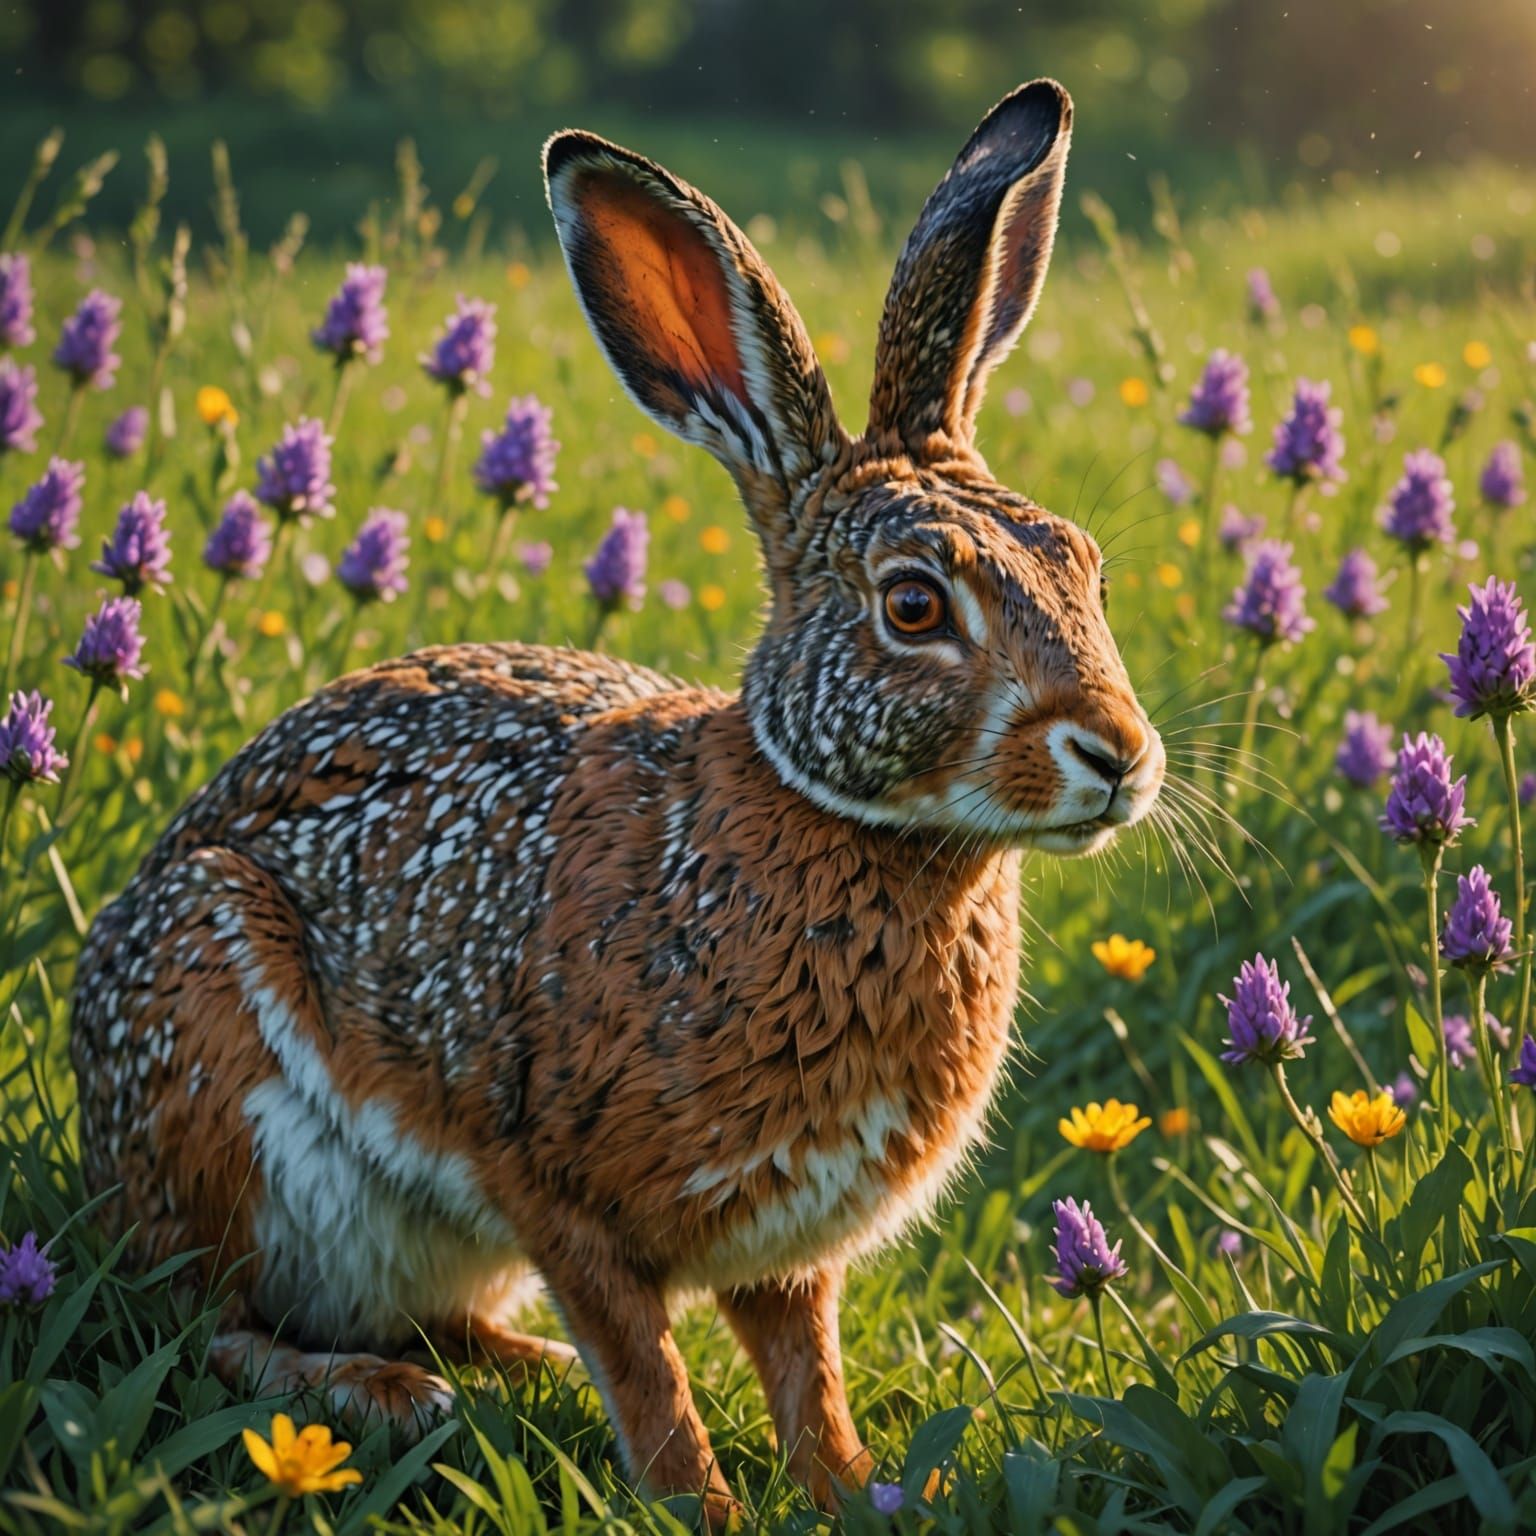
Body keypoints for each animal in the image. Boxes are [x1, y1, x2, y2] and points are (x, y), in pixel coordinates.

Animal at [71, 77, 1164, 1525]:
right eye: (916, 606)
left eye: (1081, 562)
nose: (1119, 754)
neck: (841, 826)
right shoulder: (557, 1194)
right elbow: (647, 1372)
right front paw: (699, 1505)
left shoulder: (786, 1252)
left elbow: (806, 1370)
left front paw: (859, 1491)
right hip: (218, 1091)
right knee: (202, 1321)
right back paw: (385, 1398)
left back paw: (506, 1369)